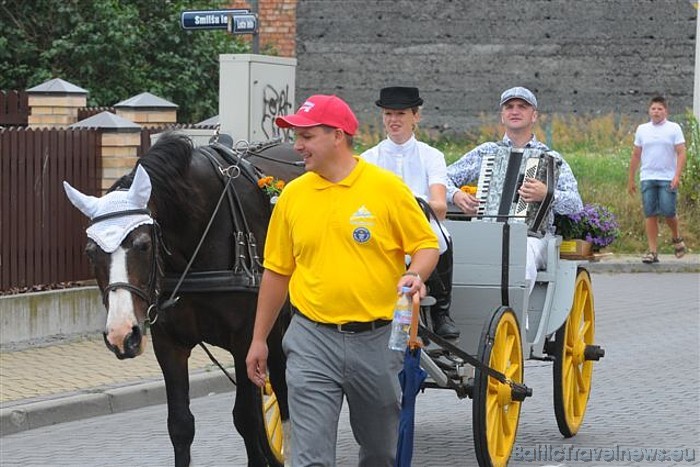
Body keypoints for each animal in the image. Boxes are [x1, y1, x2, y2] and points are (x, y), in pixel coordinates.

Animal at [65, 133, 304, 467]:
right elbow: (180, 425)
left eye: (143, 244)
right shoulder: (169, 344)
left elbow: (246, 417)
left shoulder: (246, 339)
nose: (121, 335)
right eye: (90, 252)